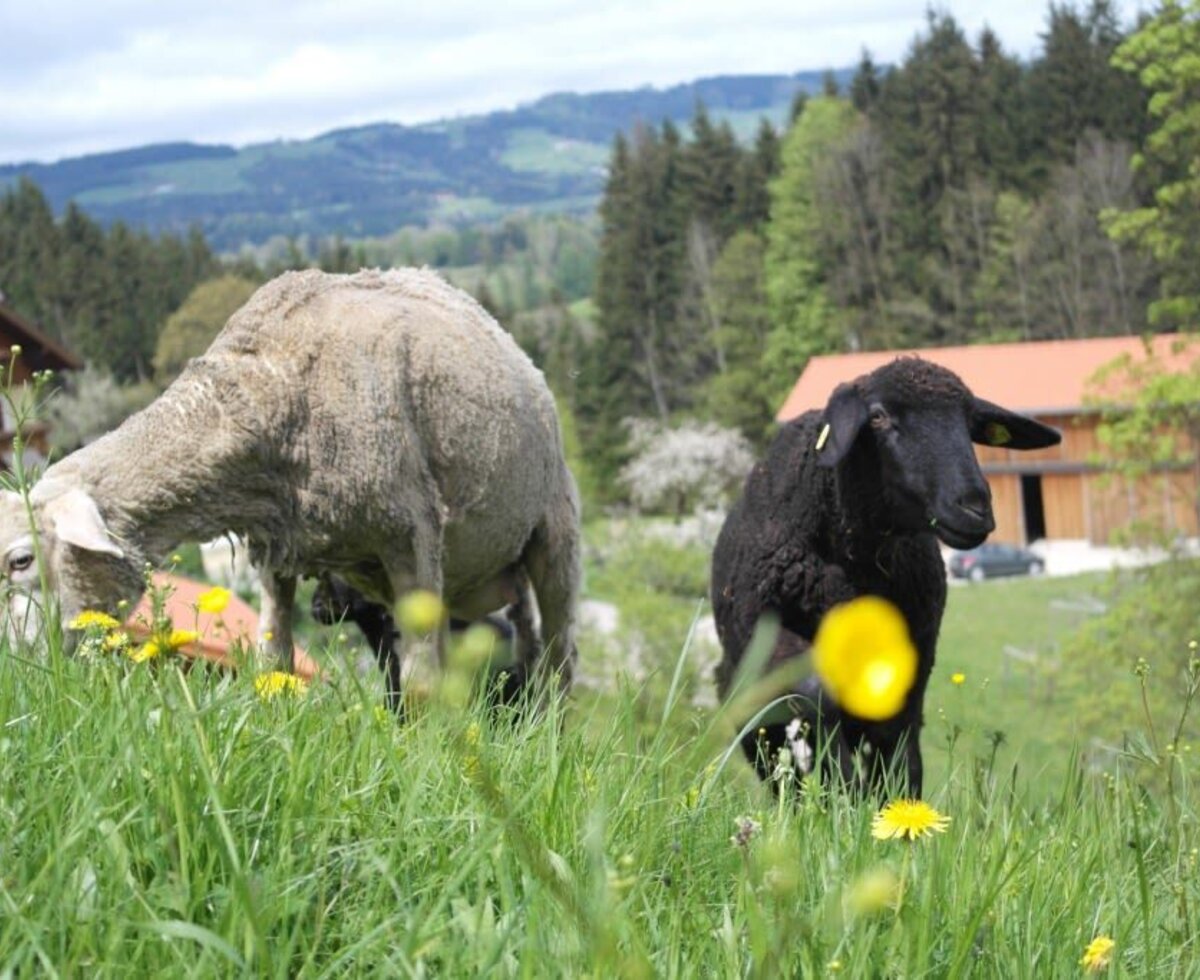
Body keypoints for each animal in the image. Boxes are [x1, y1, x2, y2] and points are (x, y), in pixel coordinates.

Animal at [0, 268, 581, 701]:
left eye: (21, 560)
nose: (16, 667)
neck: (267, 385)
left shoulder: (412, 531)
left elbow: (419, 682)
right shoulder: (275, 545)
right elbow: (274, 658)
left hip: (554, 529)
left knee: (559, 659)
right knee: (522, 646)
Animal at [710, 357, 1060, 794]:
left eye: (970, 423)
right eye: (878, 417)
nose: (974, 507)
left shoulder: (916, 645)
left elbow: (897, 731)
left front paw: (889, 799)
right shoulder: (765, 629)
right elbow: (816, 692)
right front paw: (840, 787)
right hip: (744, 695)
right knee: (776, 761)